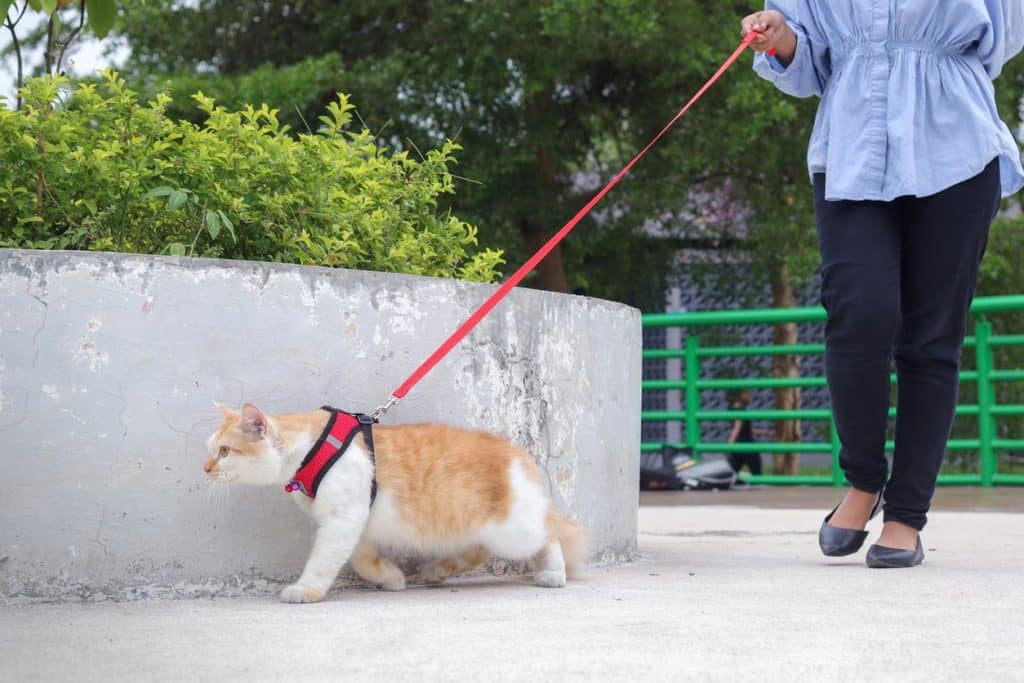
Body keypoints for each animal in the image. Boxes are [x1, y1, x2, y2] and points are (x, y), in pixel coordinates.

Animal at [201, 403, 585, 602]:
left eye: (225, 451)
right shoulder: (355, 520)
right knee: (477, 551)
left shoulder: (343, 518)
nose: (205, 468)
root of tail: (517, 453)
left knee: (551, 532)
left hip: (514, 531)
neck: (312, 447)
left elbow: (323, 561)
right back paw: (436, 571)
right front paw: (390, 577)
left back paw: (554, 573)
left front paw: (306, 589)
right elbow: (361, 559)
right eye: (211, 450)